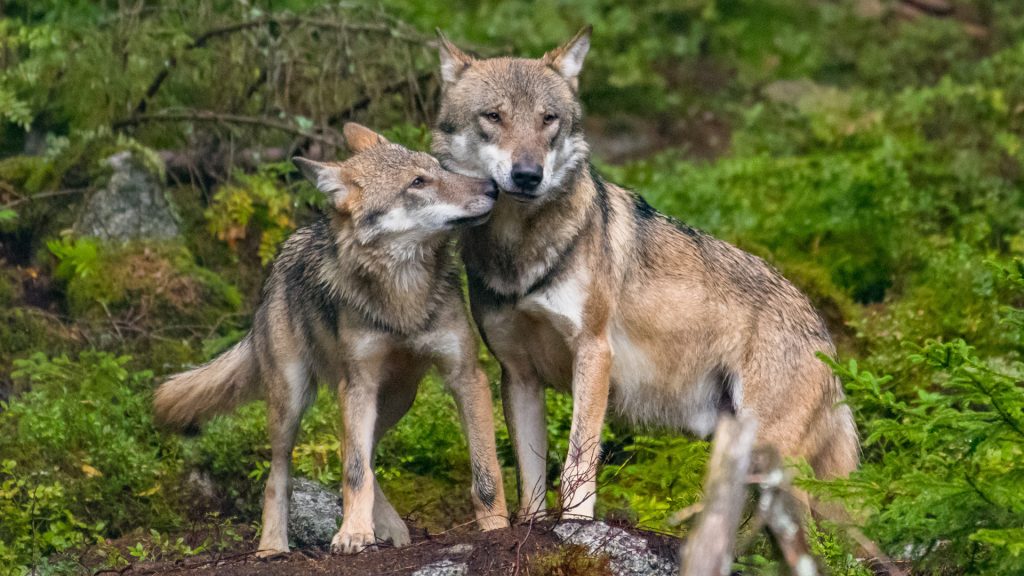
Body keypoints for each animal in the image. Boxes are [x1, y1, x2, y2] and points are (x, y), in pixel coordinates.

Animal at [152, 123, 512, 553]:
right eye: (417, 182)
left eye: (440, 168)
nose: (493, 187)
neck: (403, 297)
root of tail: (279, 262)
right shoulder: (357, 384)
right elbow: (354, 470)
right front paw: (352, 532)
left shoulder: (466, 376)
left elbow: (485, 472)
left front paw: (496, 528)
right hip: (293, 402)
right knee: (284, 474)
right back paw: (273, 546)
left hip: (397, 398)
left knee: (360, 451)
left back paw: (390, 527)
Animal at [430, 28, 856, 520]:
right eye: (494, 116)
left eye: (548, 119)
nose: (528, 174)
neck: (520, 249)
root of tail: (821, 328)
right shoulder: (518, 376)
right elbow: (530, 480)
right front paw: (534, 526)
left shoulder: (594, 354)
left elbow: (578, 460)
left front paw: (577, 527)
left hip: (774, 454)